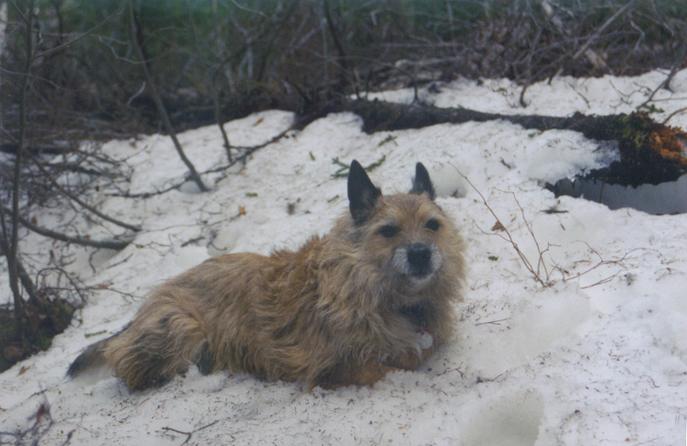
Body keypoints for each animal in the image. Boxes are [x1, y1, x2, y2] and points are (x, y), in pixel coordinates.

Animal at [68, 160, 468, 390]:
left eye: (432, 225)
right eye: (388, 230)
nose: (421, 253)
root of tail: (141, 310)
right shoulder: (332, 367)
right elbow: (388, 362)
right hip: (179, 327)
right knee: (130, 366)